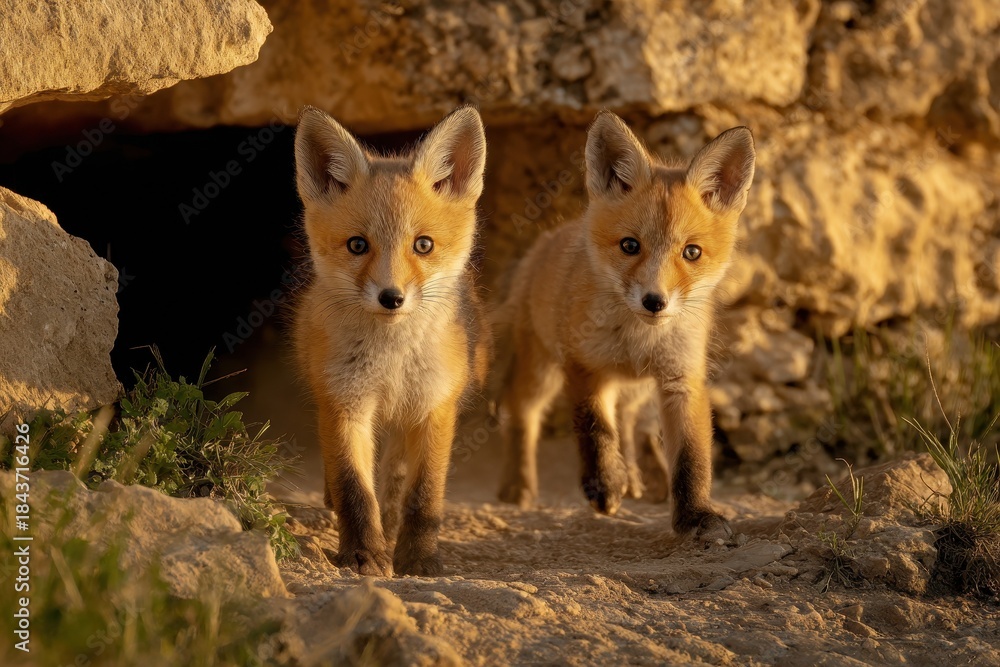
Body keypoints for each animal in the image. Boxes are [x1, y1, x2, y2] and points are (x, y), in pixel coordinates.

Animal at [292, 106, 491, 576]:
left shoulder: (435, 407)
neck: (392, 359)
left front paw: (418, 557)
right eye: (357, 245)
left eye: (423, 245)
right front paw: (363, 554)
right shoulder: (343, 403)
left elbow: (424, 496)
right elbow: (353, 488)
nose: (392, 297)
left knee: (396, 476)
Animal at [495, 111, 755, 537]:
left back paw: (639, 476)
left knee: (631, 422)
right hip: (542, 371)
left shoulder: (681, 378)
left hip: (636, 387)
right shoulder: (583, 367)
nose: (654, 301)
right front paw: (604, 485)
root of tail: (547, 239)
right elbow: (595, 429)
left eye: (692, 252)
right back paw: (518, 485)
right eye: (630, 246)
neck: (639, 339)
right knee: (521, 411)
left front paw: (695, 515)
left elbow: (690, 456)